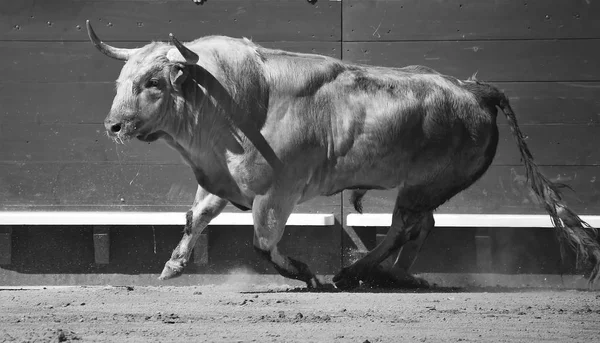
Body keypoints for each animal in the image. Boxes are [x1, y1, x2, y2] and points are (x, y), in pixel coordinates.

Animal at [85, 20, 600, 290]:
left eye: (153, 81)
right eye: (120, 81)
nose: (112, 126)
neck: (235, 99)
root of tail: (475, 90)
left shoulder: (277, 193)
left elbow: (263, 243)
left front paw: (307, 274)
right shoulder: (221, 180)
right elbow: (196, 218)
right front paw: (171, 267)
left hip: (425, 184)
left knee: (404, 227)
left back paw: (358, 271)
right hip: (425, 187)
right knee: (421, 226)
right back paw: (396, 275)